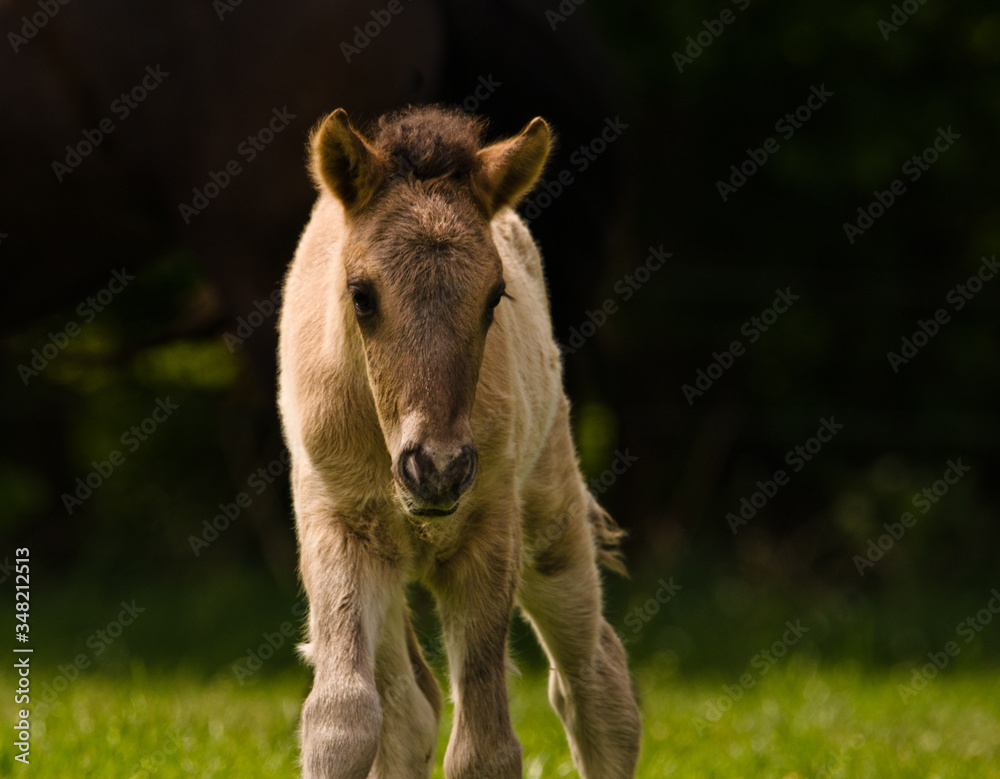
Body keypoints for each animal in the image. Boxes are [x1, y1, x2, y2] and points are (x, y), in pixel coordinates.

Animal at [278, 108, 644, 779]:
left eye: (493, 297)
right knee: (410, 706)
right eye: (361, 295)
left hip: (549, 518)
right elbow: (342, 718)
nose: (438, 469)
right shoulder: (338, 526)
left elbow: (485, 749)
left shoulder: (489, 534)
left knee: (594, 680)